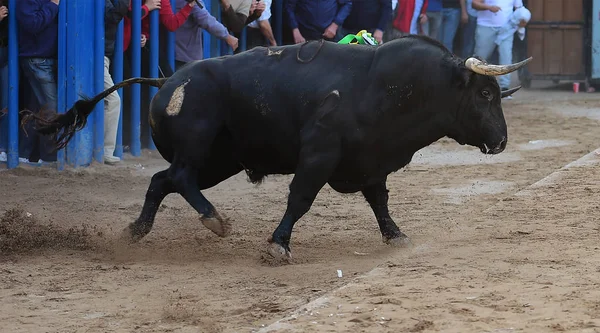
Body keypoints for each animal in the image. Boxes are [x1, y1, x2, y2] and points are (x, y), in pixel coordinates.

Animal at [27, 35, 528, 260]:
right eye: (486, 94)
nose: (501, 140)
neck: (384, 87)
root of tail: (167, 80)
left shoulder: (370, 164)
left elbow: (379, 201)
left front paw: (395, 235)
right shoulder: (319, 155)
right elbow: (300, 198)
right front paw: (278, 244)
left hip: (221, 161)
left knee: (160, 180)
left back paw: (138, 230)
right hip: (200, 148)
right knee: (179, 177)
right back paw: (214, 220)